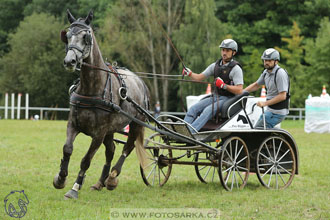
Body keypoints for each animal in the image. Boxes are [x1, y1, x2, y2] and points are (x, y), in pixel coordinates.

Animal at [53, 9, 150, 199]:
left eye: (85, 37)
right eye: (67, 36)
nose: (69, 62)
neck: (92, 88)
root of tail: (139, 81)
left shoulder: (98, 133)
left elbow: (86, 160)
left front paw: (75, 187)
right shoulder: (73, 124)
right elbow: (67, 149)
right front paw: (60, 178)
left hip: (136, 124)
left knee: (127, 148)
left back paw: (112, 178)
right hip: (111, 130)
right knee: (110, 150)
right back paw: (100, 182)